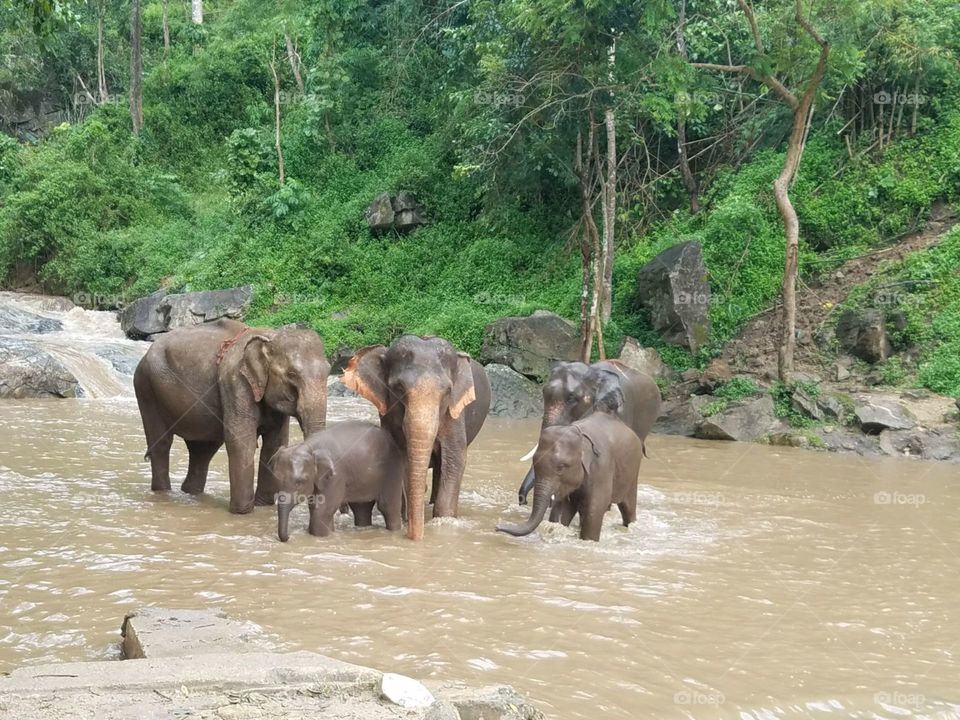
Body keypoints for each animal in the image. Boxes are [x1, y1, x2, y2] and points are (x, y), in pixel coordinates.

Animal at [133, 319, 330, 514]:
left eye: (329, 372)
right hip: (146, 388)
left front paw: (263, 505)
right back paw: (163, 493)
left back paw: (190, 493)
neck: (270, 336)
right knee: (162, 444)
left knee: (203, 450)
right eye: (292, 374)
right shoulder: (235, 382)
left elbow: (275, 444)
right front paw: (242, 512)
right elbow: (241, 442)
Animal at [269, 420, 404, 541]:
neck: (309, 447)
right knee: (361, 508)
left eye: (299, 482)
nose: (290, 537)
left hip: (393, 470)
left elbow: (323, 510)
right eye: (275, 480)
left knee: (387, 507)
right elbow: (316, 507)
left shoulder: (336, 476)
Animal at [342, 335, 491, 541]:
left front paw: (443, 521)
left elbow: (455, 459)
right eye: (398, 388)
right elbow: (399, 459)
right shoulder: (388, 415)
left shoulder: (454, 415)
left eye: (447, 391)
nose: (415, 536)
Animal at [497, 412, 643, 542]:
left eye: (561, 467)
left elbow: (594, 510)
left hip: (633, 473)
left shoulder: (602, 467)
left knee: (628, 508)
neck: (579, 433)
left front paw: (588, 541)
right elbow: (562, 507)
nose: (497, 527)